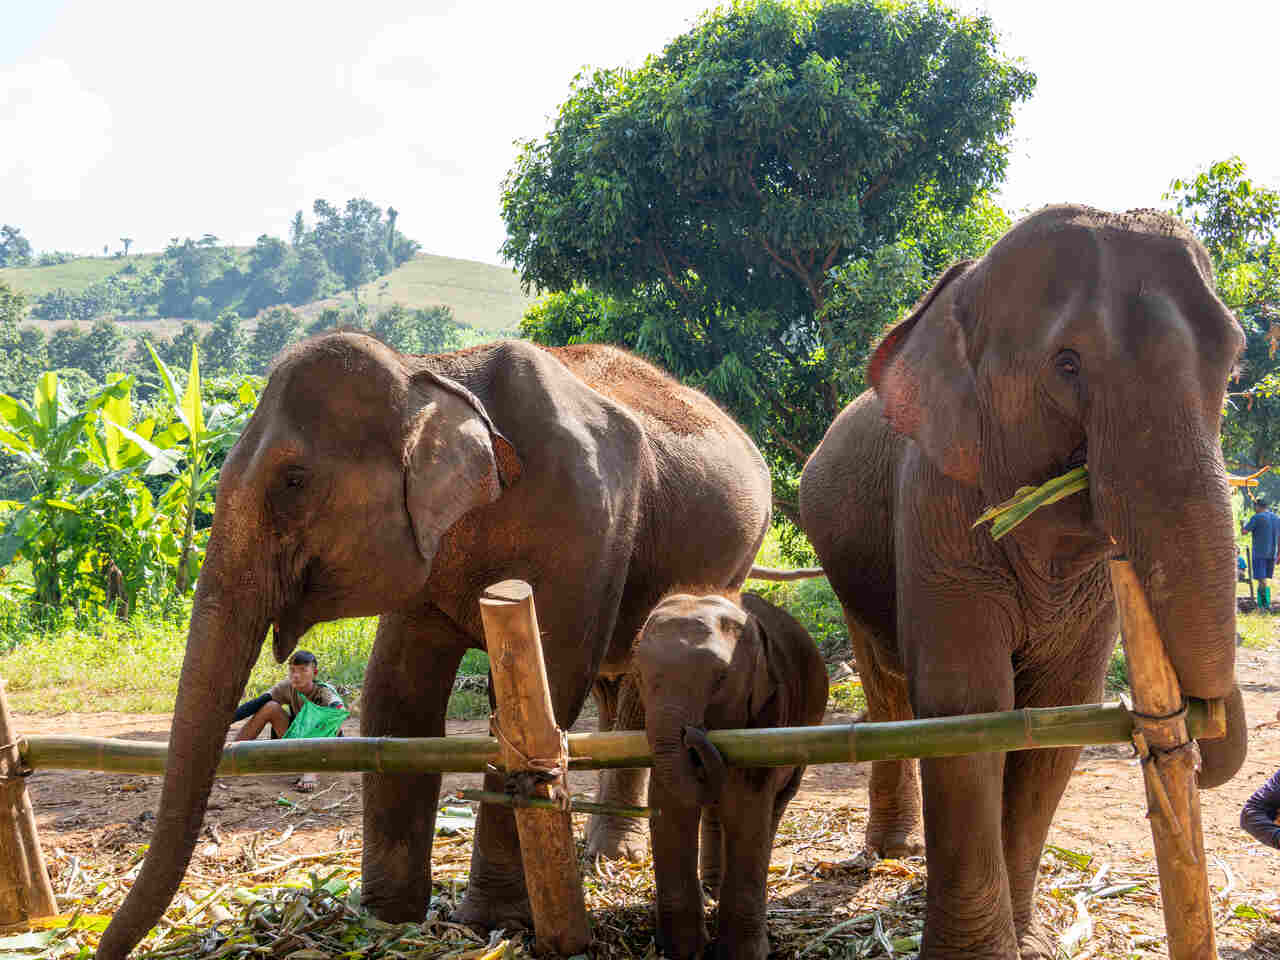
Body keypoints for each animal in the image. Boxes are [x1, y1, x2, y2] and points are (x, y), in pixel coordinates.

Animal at [97, 332, 772, 960]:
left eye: (292, 481)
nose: (102, 947)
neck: (433, 371)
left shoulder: (586, 524)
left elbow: (543, 689)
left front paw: (491, 921)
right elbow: (396, 697)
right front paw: (385, 918)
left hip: (729, 558)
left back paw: (610, 859)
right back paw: (598, 856)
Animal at [632, 590, 828, 960]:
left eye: (721, 679)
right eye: (638, 675)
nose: (693, 734)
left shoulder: (768, 716)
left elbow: (747, 809)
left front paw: (742, 953)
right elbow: (670, 808)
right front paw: (683, 950)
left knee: (774, 808)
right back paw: (712, 889)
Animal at [798, 204, 1249, 960]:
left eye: (1235, 356)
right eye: (1067, 363)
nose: (1200, 750)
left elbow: (1061, 709)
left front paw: (1024, 937)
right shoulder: (936, 501)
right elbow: (967, 705)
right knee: (888, 686)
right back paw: (891, 851)